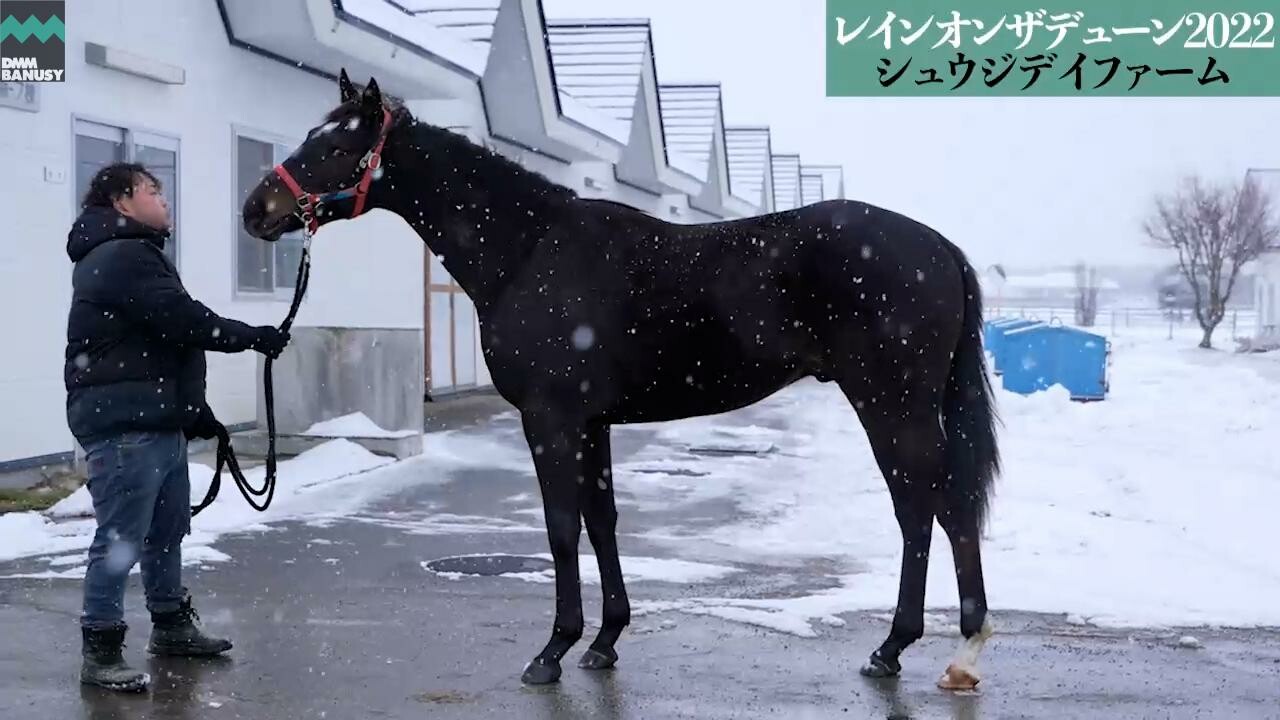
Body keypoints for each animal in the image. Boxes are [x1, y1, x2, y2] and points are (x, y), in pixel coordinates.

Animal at [240, 73, 998, 691]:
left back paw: (915, 648)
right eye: (309, 135)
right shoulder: (593, 422)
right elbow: (601, 520)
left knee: (929, 509)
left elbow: (560, 527)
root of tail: (939, 247)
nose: (256, 210)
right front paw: (604, 641)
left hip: (891, 403)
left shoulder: (550, 419)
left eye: (335, 146)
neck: (528, 249)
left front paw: (552, 651)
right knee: (940, 507)